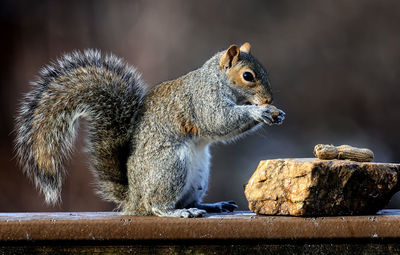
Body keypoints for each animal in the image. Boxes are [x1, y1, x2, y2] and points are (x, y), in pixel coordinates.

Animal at [14, 42, 284, 217]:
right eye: (248, 76)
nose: (268, 99)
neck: (216, 79)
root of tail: (133, 199)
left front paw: (275, 113)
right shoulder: (203, 100)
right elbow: (218, 121)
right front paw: (259, 112)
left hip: (199, 175)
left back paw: (209, 206)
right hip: (170, 167)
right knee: (155, 205)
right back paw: (176, 212)